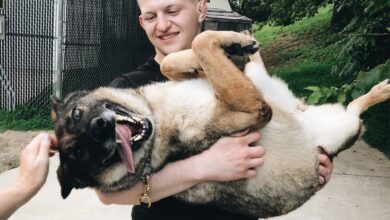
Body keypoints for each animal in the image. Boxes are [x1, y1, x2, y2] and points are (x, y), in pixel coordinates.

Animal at [51, 31, 390, 218]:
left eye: (77, 115)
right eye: (84, 155)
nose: (100, 128)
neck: (159, 118)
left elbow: (173, 60)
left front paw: (227, 46)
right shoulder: (253, 109)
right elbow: (201, 42)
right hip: (342, 126)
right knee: (356, 111)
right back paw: (382, 89)